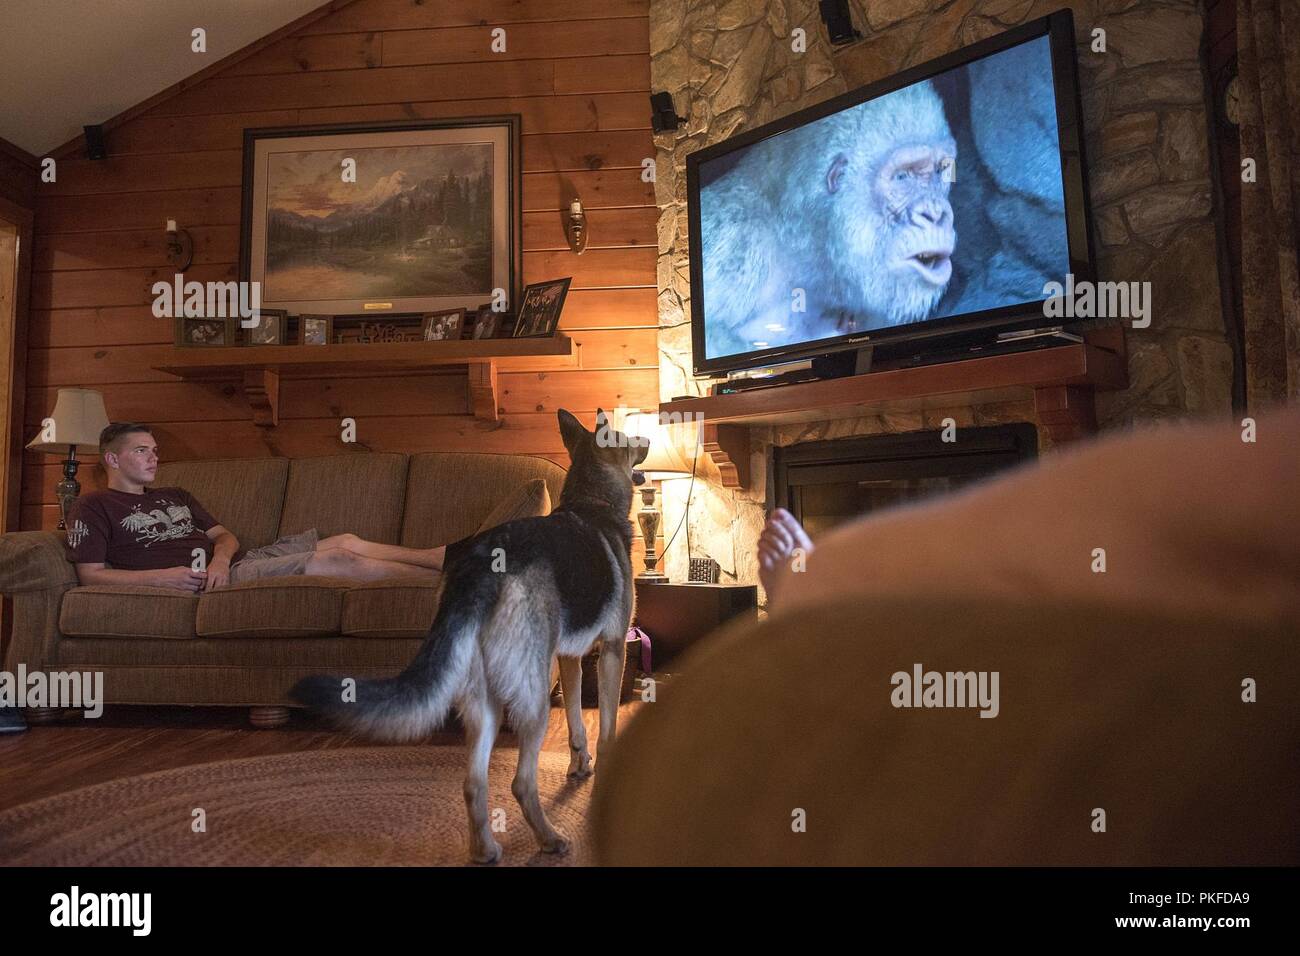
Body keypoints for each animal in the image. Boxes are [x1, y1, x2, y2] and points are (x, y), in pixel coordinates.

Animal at [288, 408, 644, 863]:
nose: (648, 442)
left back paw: (485, 848)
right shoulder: (613, 649)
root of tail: (480, 565)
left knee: (473, 783)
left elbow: (578, 723)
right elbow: (607, 724)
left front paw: (580, 764)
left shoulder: (569, 658)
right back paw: (550, 839)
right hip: (530, 701)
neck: (593, 501)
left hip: (484, 700)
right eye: (630, 440)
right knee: (520, 782)